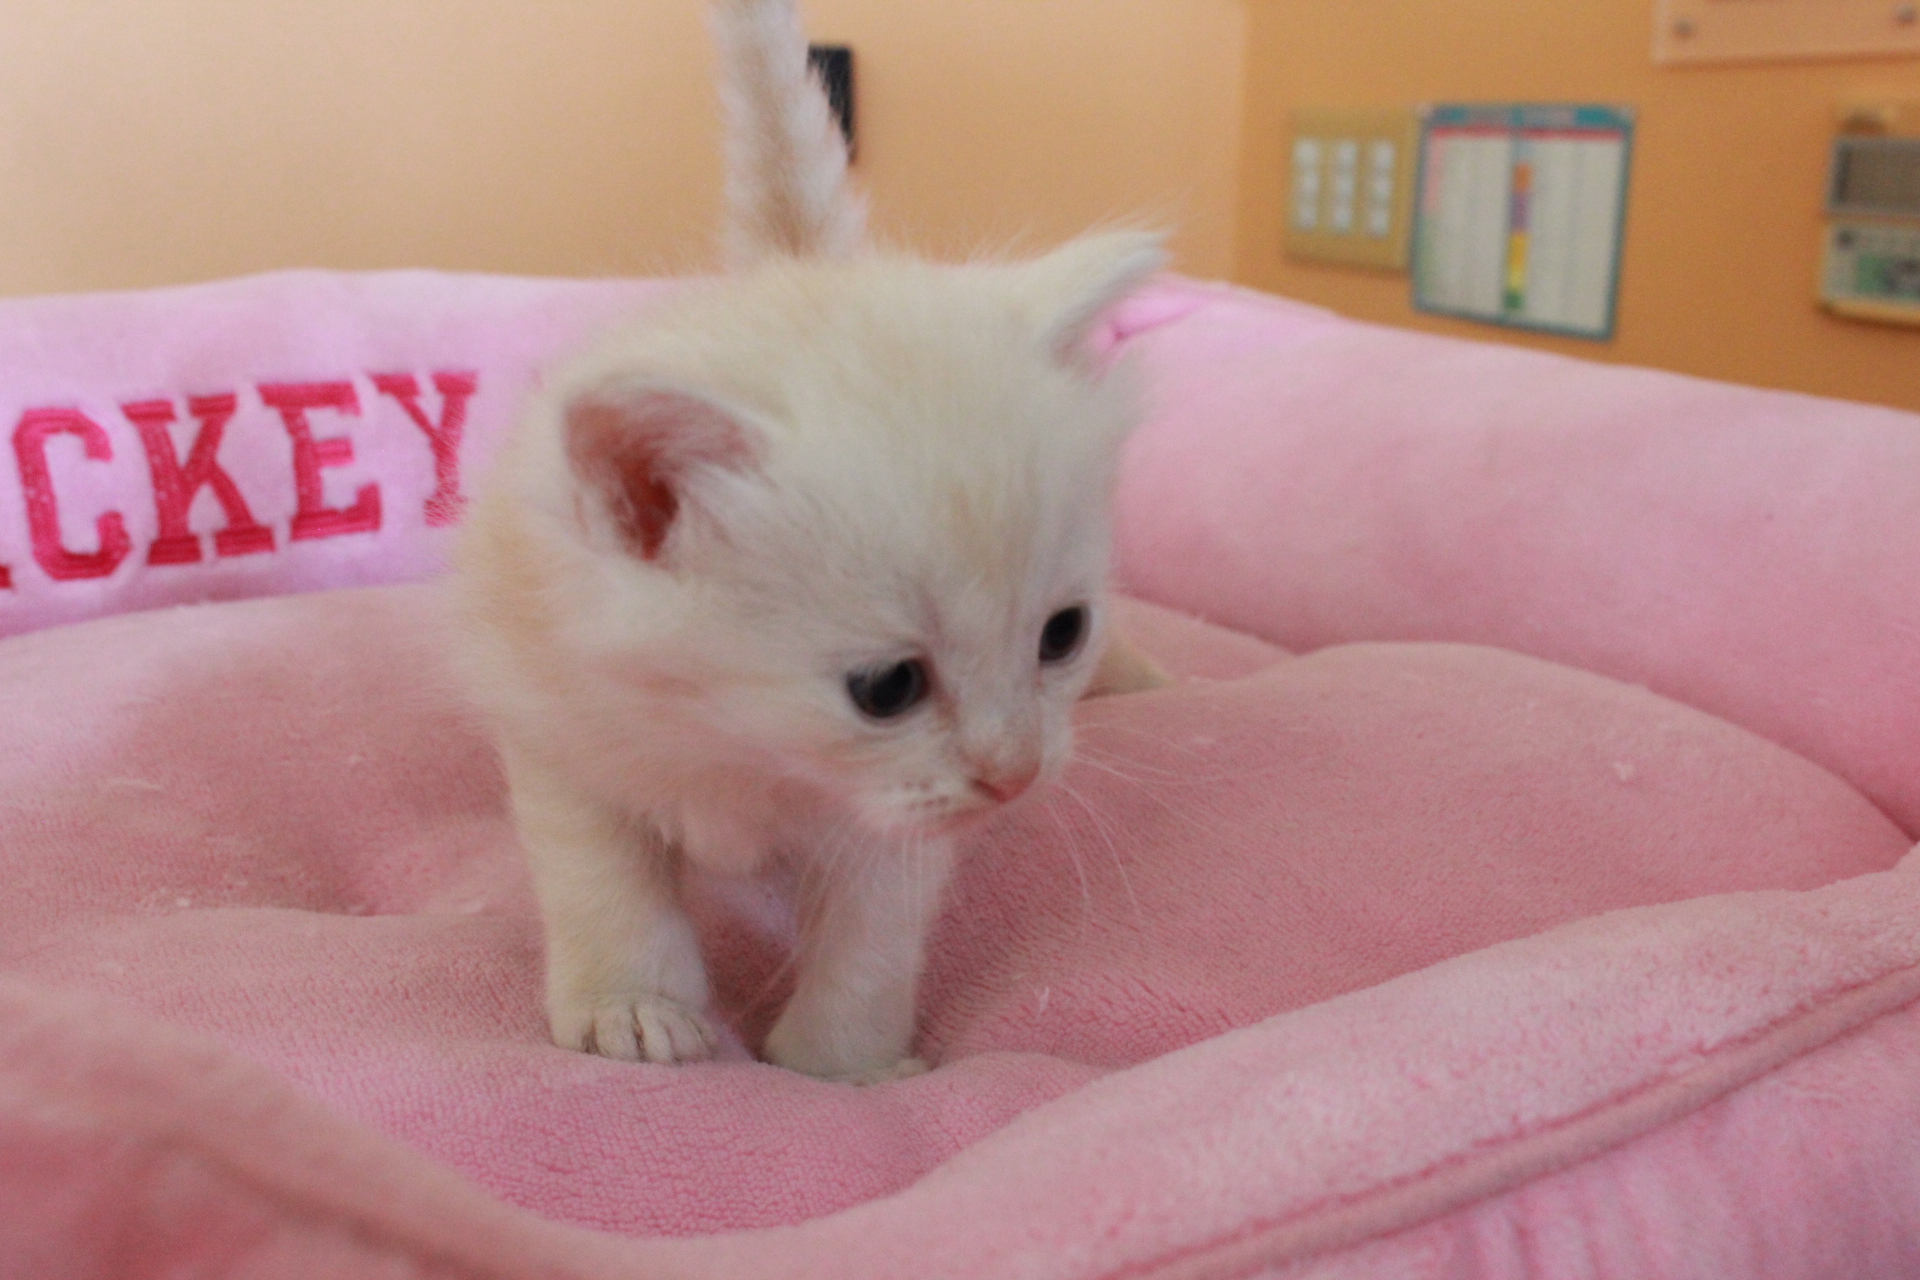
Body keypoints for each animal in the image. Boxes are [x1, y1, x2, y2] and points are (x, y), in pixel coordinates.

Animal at [450, 0, 1168, 1082]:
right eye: (888, 687)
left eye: (1061, 635)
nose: (1015, 774)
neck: (742, 748)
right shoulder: (558, 721)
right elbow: (602, 879)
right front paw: (630, 1006)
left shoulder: (893, 831)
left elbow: (871, 941)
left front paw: (842, 1066)